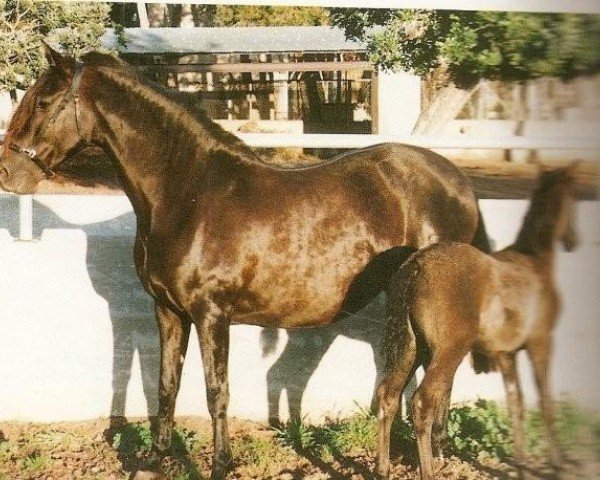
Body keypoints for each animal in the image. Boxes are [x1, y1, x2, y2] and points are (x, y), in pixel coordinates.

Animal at [378, 163, 580, 478]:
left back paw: (382, 468)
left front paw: (522, 465)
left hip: (411, 349)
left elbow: (516, 403)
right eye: (575, 200)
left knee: (388, 396)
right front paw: (557, 464)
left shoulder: (507, 353)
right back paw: (428, 470)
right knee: (422, 402)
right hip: (448, 352)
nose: (572, 241)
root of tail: (415, 267)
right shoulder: (541, 342)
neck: (534, 262)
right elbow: (545, 402)